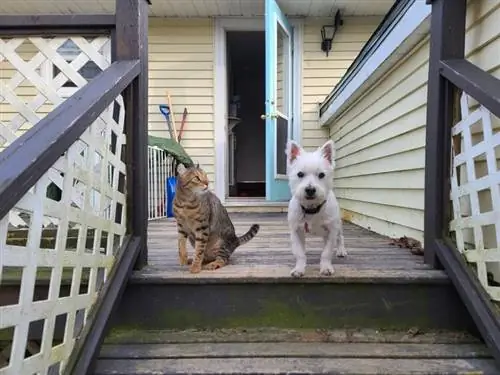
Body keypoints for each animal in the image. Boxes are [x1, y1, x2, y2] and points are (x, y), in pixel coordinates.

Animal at [288, 140, 346, 278]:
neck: (311, 209)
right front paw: (299, 269)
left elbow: (326, 252)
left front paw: (326, 268)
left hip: (338, 224)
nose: (310, 189)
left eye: (321, 175)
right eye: (300, 174)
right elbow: (299, 253)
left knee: (340, 237)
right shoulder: (296, 231)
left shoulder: (331, 230)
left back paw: (341, 250)